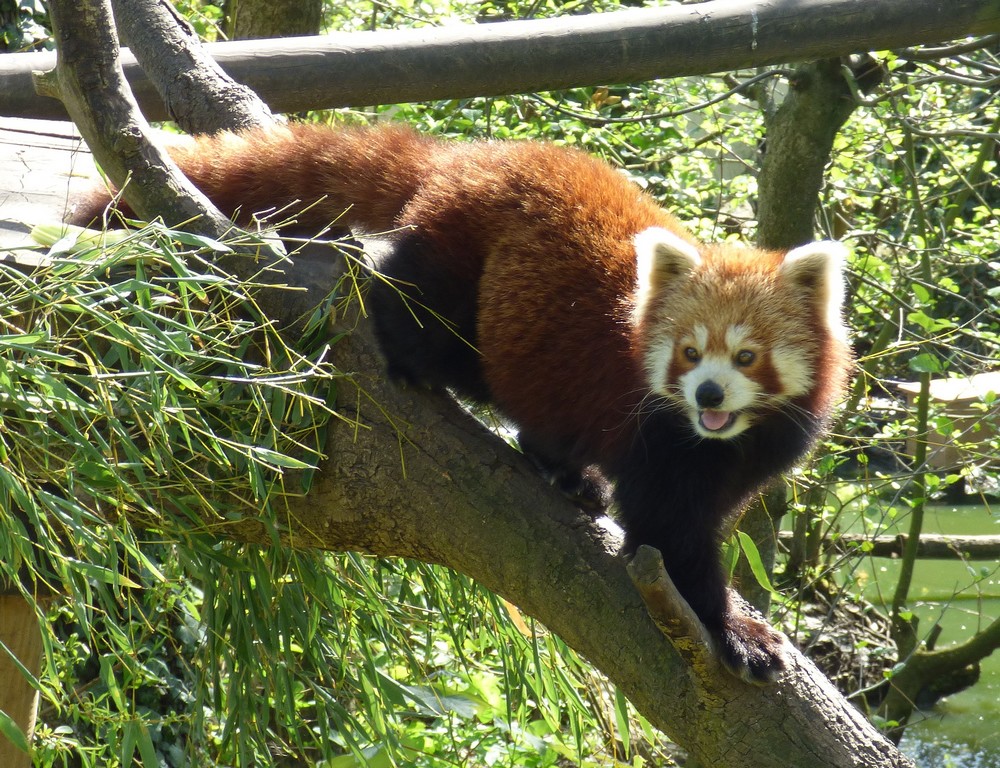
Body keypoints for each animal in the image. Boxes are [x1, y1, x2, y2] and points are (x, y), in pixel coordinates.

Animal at [72, 124, 852, 684]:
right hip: (459, 260)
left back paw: (566, 472)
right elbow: (671, 538)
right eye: (689, 352)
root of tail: (467, 155)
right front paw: (735, 632)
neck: (718, 439)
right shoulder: (658, 442)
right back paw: (411, 353)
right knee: (416, 302)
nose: (708, 393)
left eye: (746, 356)